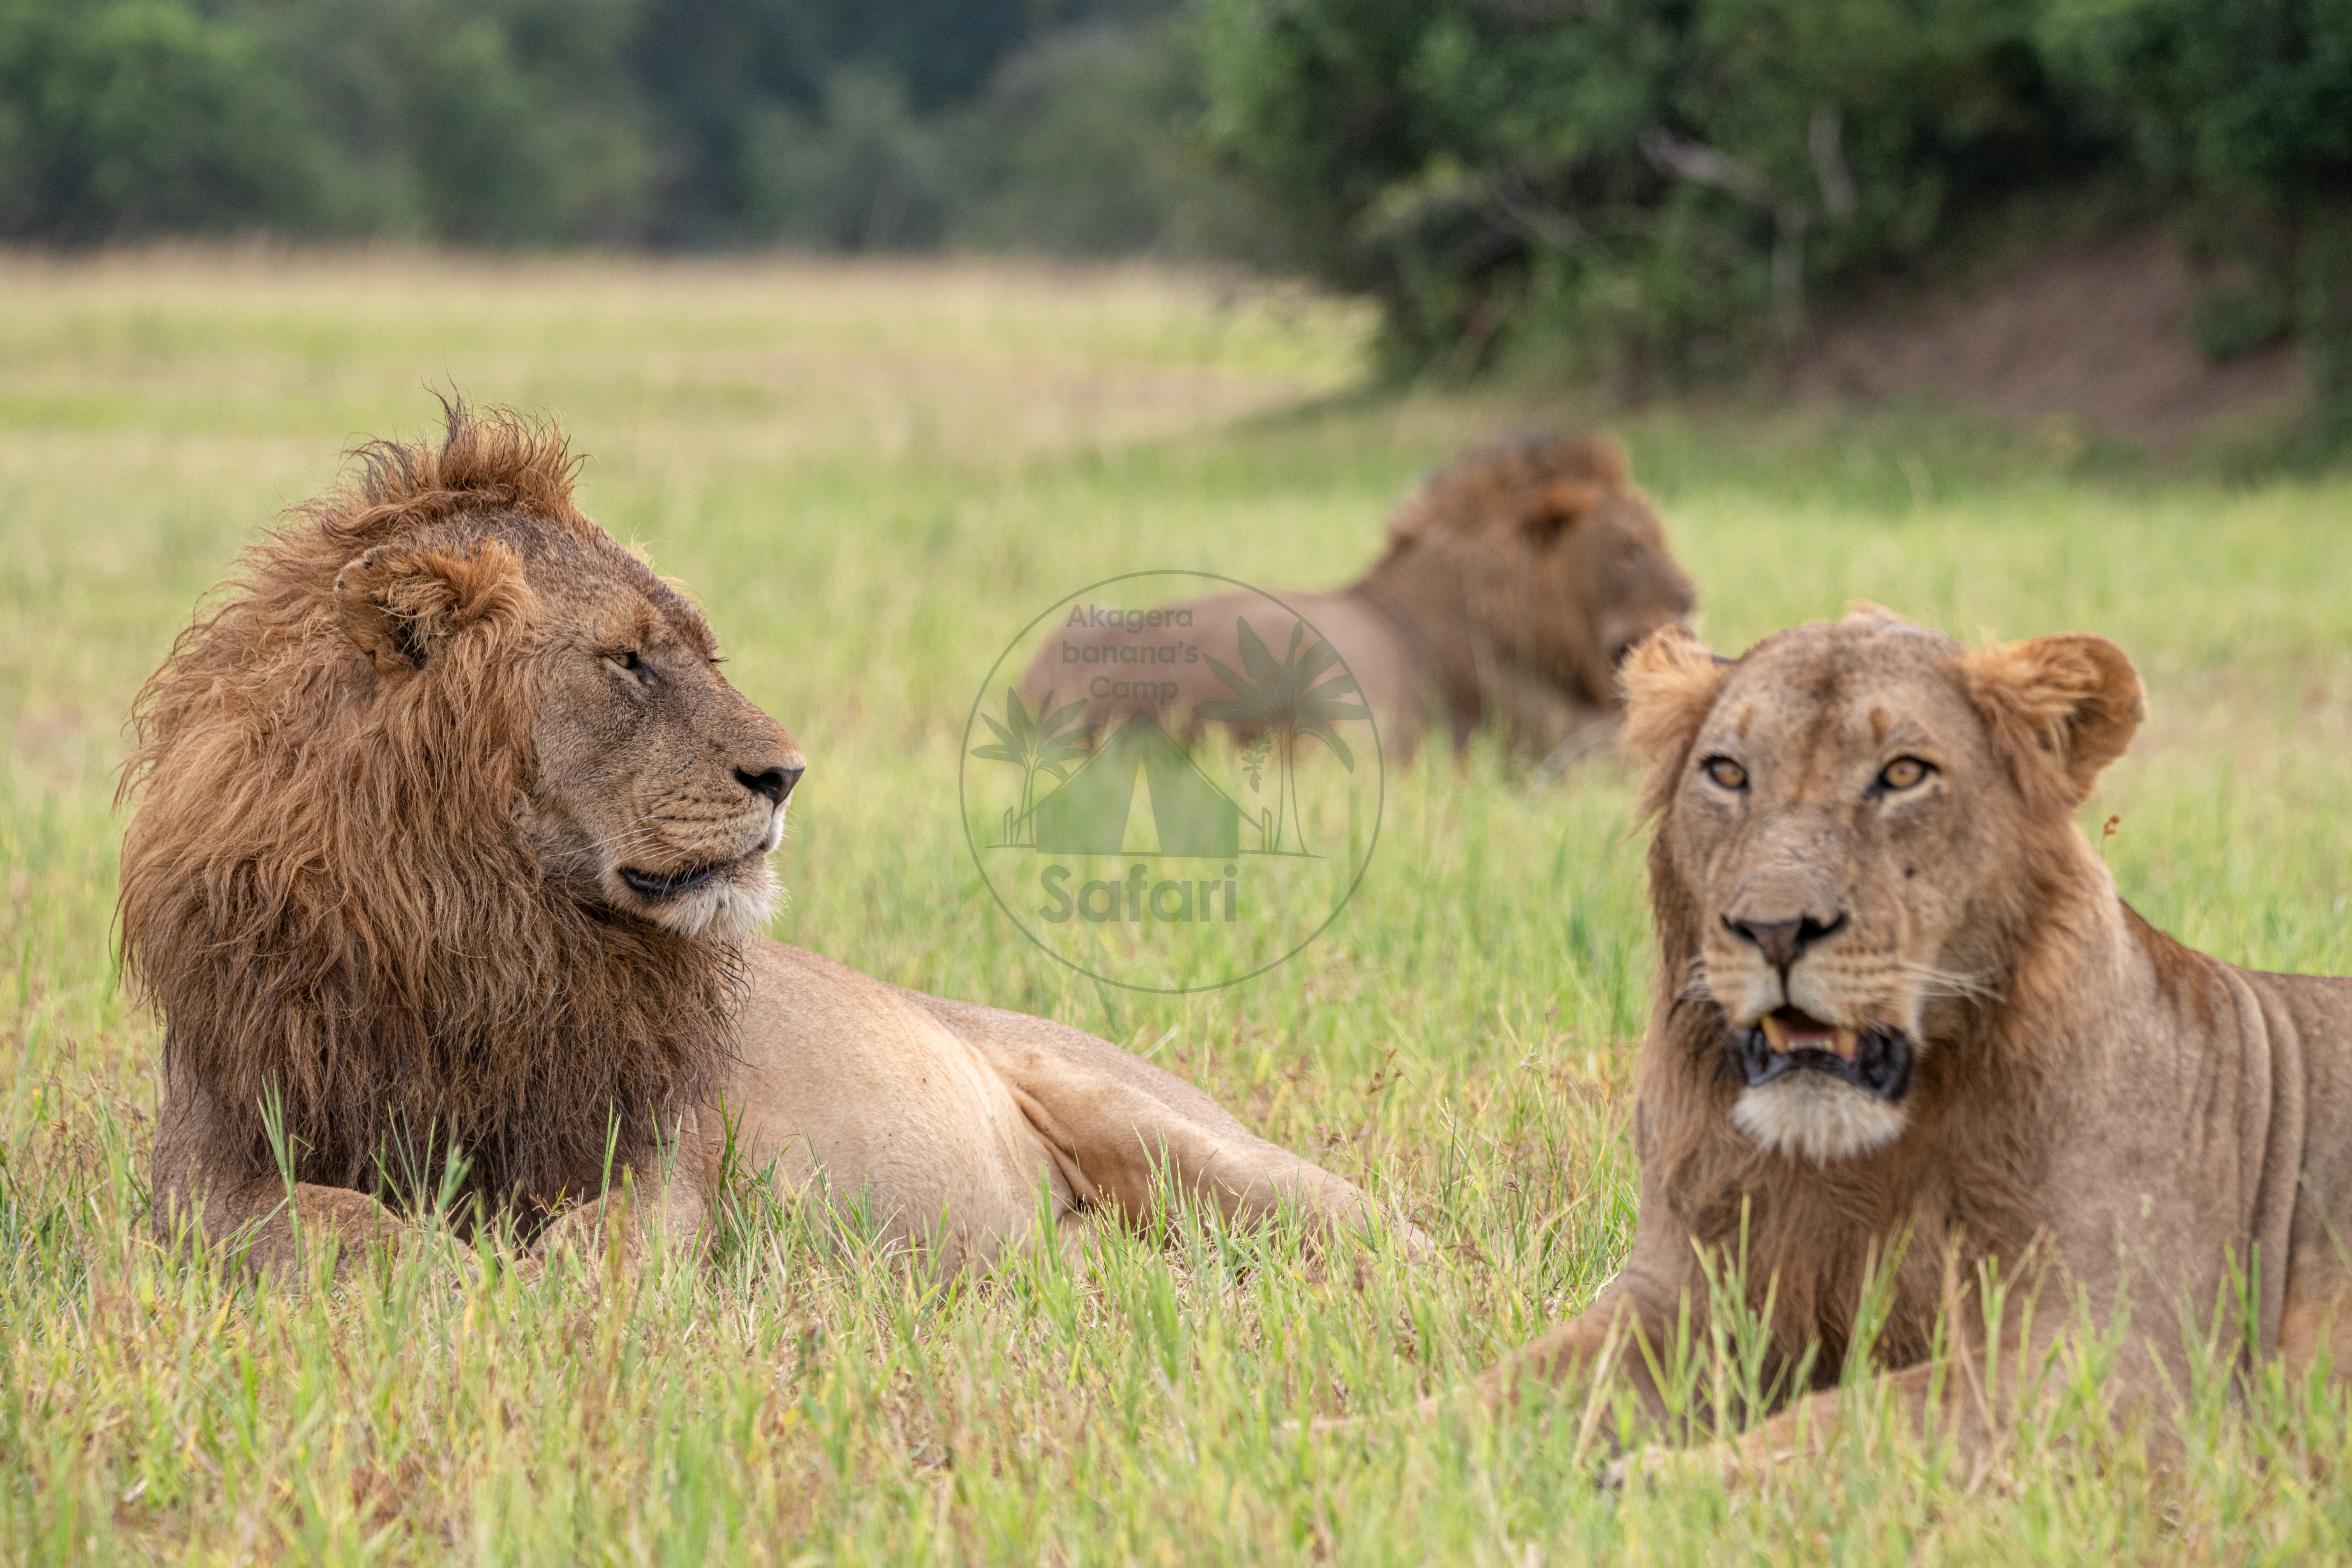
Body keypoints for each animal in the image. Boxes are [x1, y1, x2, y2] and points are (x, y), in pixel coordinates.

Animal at [122, 403, 1403, 1278]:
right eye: (628, 661)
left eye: (701, 651)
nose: (786, 776)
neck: (472, 930)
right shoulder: (209, 1159)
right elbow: (328, 1223)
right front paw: (435, 1269)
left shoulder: (661, 1157)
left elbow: (592, 1255)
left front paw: (505, 1286)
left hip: (1187, 1138)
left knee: (1386, 1227)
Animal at [1453, 609, 2352, 1473]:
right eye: (1728, 772)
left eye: (1903, 774)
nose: (1774, 928)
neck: (1857, 1169)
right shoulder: (1677, 1290)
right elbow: (1512, 1385)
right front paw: (1419, 1456)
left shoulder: (2114, 1363)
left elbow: (1860, 1419)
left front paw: (1665, 1477)